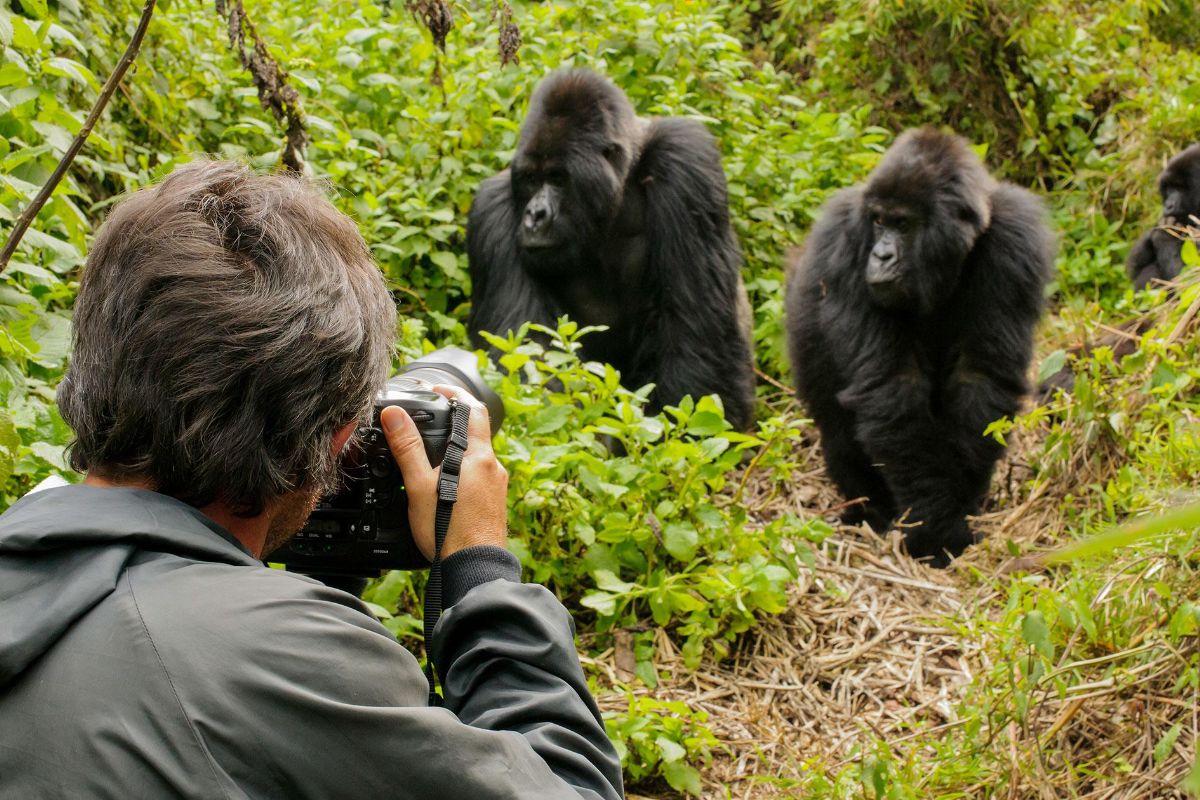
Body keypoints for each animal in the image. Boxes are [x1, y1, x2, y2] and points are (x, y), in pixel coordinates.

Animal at [465, 68, 753, 431]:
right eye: (531, 179)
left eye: (557, 179)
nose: (534, 215)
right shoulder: (492, 211)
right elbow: (526, 354)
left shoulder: (685, 160)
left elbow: (697, 333)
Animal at [787, 128, 1051, 566]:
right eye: (878, 221)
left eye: (904, 224)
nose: (880, 255)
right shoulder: (847, 240)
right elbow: (892, 386)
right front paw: (936, 530)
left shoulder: (1016, 240)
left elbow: (980, 378)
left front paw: (960, 510)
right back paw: (867, 511)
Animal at [1128, 143, 1195, 291]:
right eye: (1169, 188)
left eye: (1181, 188)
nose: (1168, 205)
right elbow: (1134, 269)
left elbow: (1187, 280)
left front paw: (1165, 236)